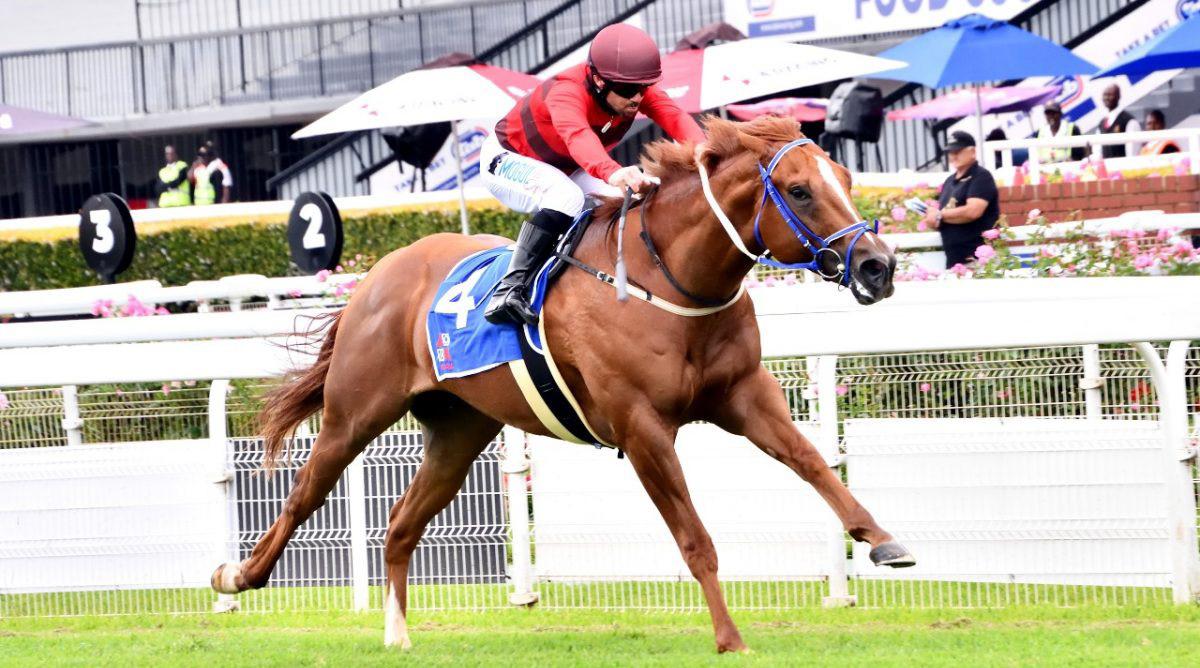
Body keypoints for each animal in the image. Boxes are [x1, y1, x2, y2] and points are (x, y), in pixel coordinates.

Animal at [211, 116, 912, 653]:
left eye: (845, 178)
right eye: (798, 190)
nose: (878, 267)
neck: (669, 278)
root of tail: (378, 275)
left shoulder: (744, 396)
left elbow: (813, 462)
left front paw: (882, 541)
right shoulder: (641, 427)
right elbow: (695, 538)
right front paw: (730, 639)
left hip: (458, 431)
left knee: (402, 523)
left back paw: (398, 633)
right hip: (355, 412)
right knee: (303, 495)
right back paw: (236, 578)